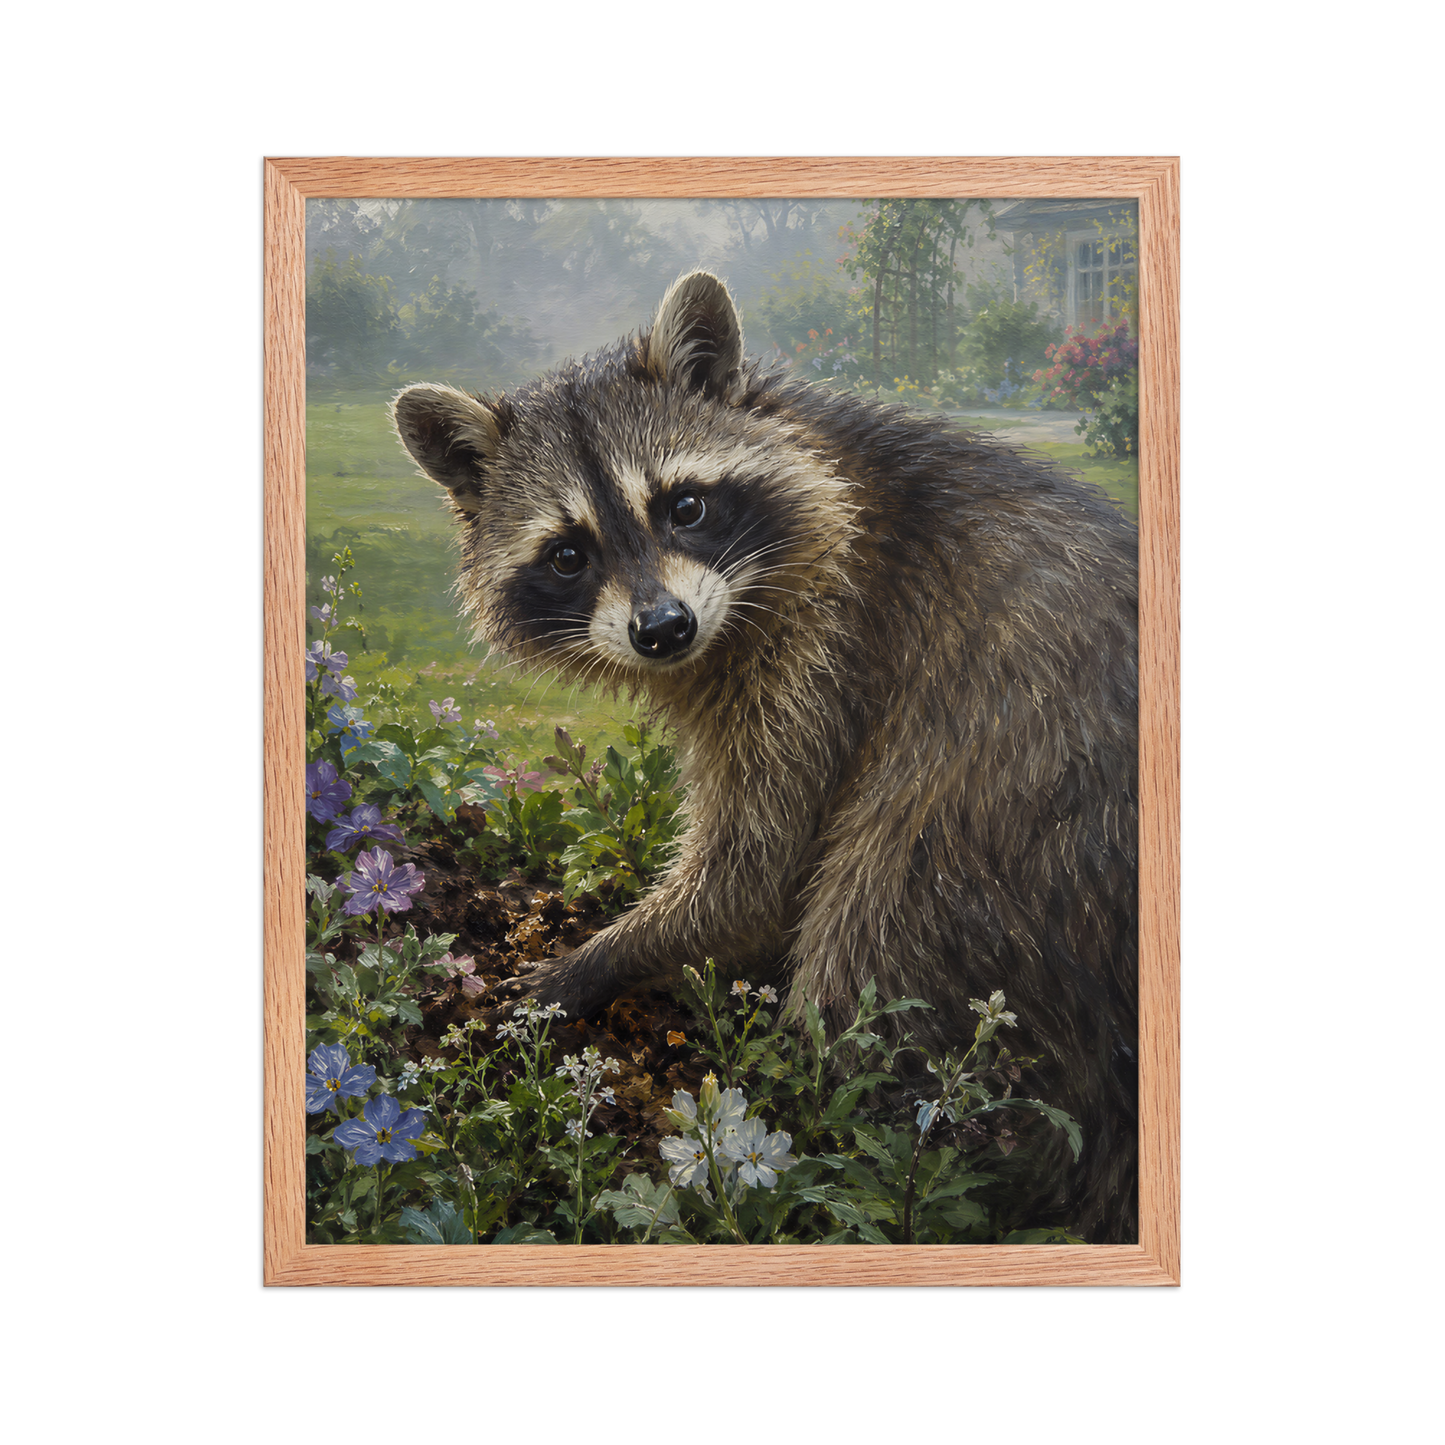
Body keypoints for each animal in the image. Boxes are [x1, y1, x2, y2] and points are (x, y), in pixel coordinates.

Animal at [392, 271, 1138, 1242]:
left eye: (685, 505)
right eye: (567, 553)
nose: (662, 629)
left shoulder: (829, 649)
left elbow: (754, 871)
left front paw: (597, 959)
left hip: (1004, 837)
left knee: (873, 937)